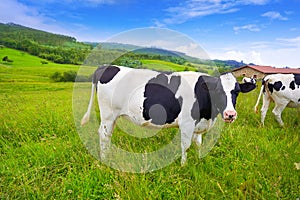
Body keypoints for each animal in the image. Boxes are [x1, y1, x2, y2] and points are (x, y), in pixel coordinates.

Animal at [81, 65, 255, 164]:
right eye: (218, 91)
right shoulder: (187, 123)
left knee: (107, 134)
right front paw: (184, 166)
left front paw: (199, 160)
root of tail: (108, 66)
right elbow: (186, 145)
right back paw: (105, 159)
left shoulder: (198, 124)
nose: (230, 114)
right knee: (104, 134)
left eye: (237, 92)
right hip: (108, 114)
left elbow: (198, 143)